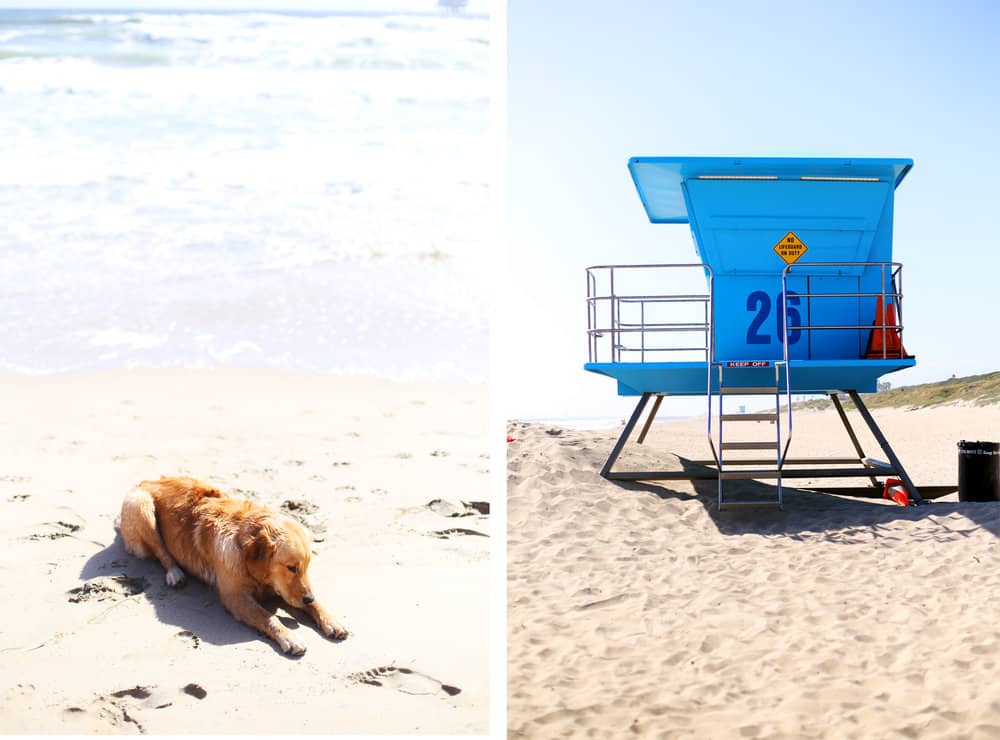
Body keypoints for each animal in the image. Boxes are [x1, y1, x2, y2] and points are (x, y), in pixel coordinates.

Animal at [119, 474, 348, 652]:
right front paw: (289, 637)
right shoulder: (235, 597)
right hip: (141, 506)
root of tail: (148, 480)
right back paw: (175, 574)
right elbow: (267, 617)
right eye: (291, 568)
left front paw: (331, 621)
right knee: (161, 552)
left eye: (307, 567)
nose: (308, 598)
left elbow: (316, 603)